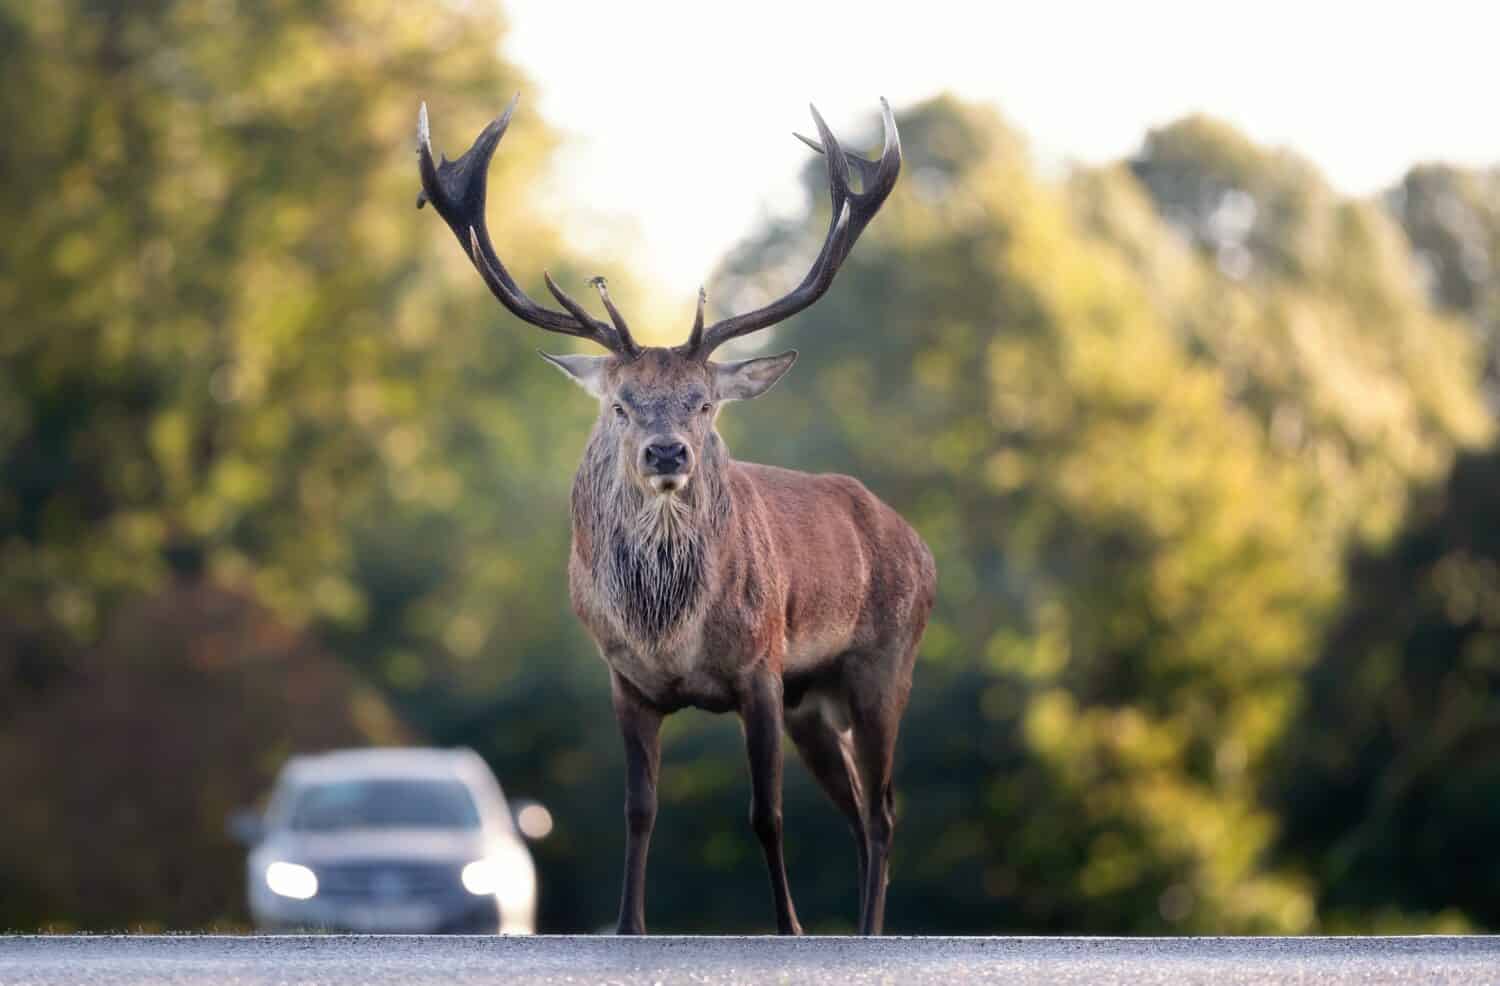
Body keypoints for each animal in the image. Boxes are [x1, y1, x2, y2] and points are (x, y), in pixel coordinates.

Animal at [417, 94, 935, 936]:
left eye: (703, 403)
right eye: (623, 405)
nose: (668, 453)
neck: (671, 630)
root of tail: (916, 541)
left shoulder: (761, 667)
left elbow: (766, 814)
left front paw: (790, 930)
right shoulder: (625, 680)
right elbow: (639, 810)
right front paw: (629, 926)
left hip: (886, 660)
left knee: (885, 810)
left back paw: (864, 932)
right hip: (814, 701)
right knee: (860, 813)